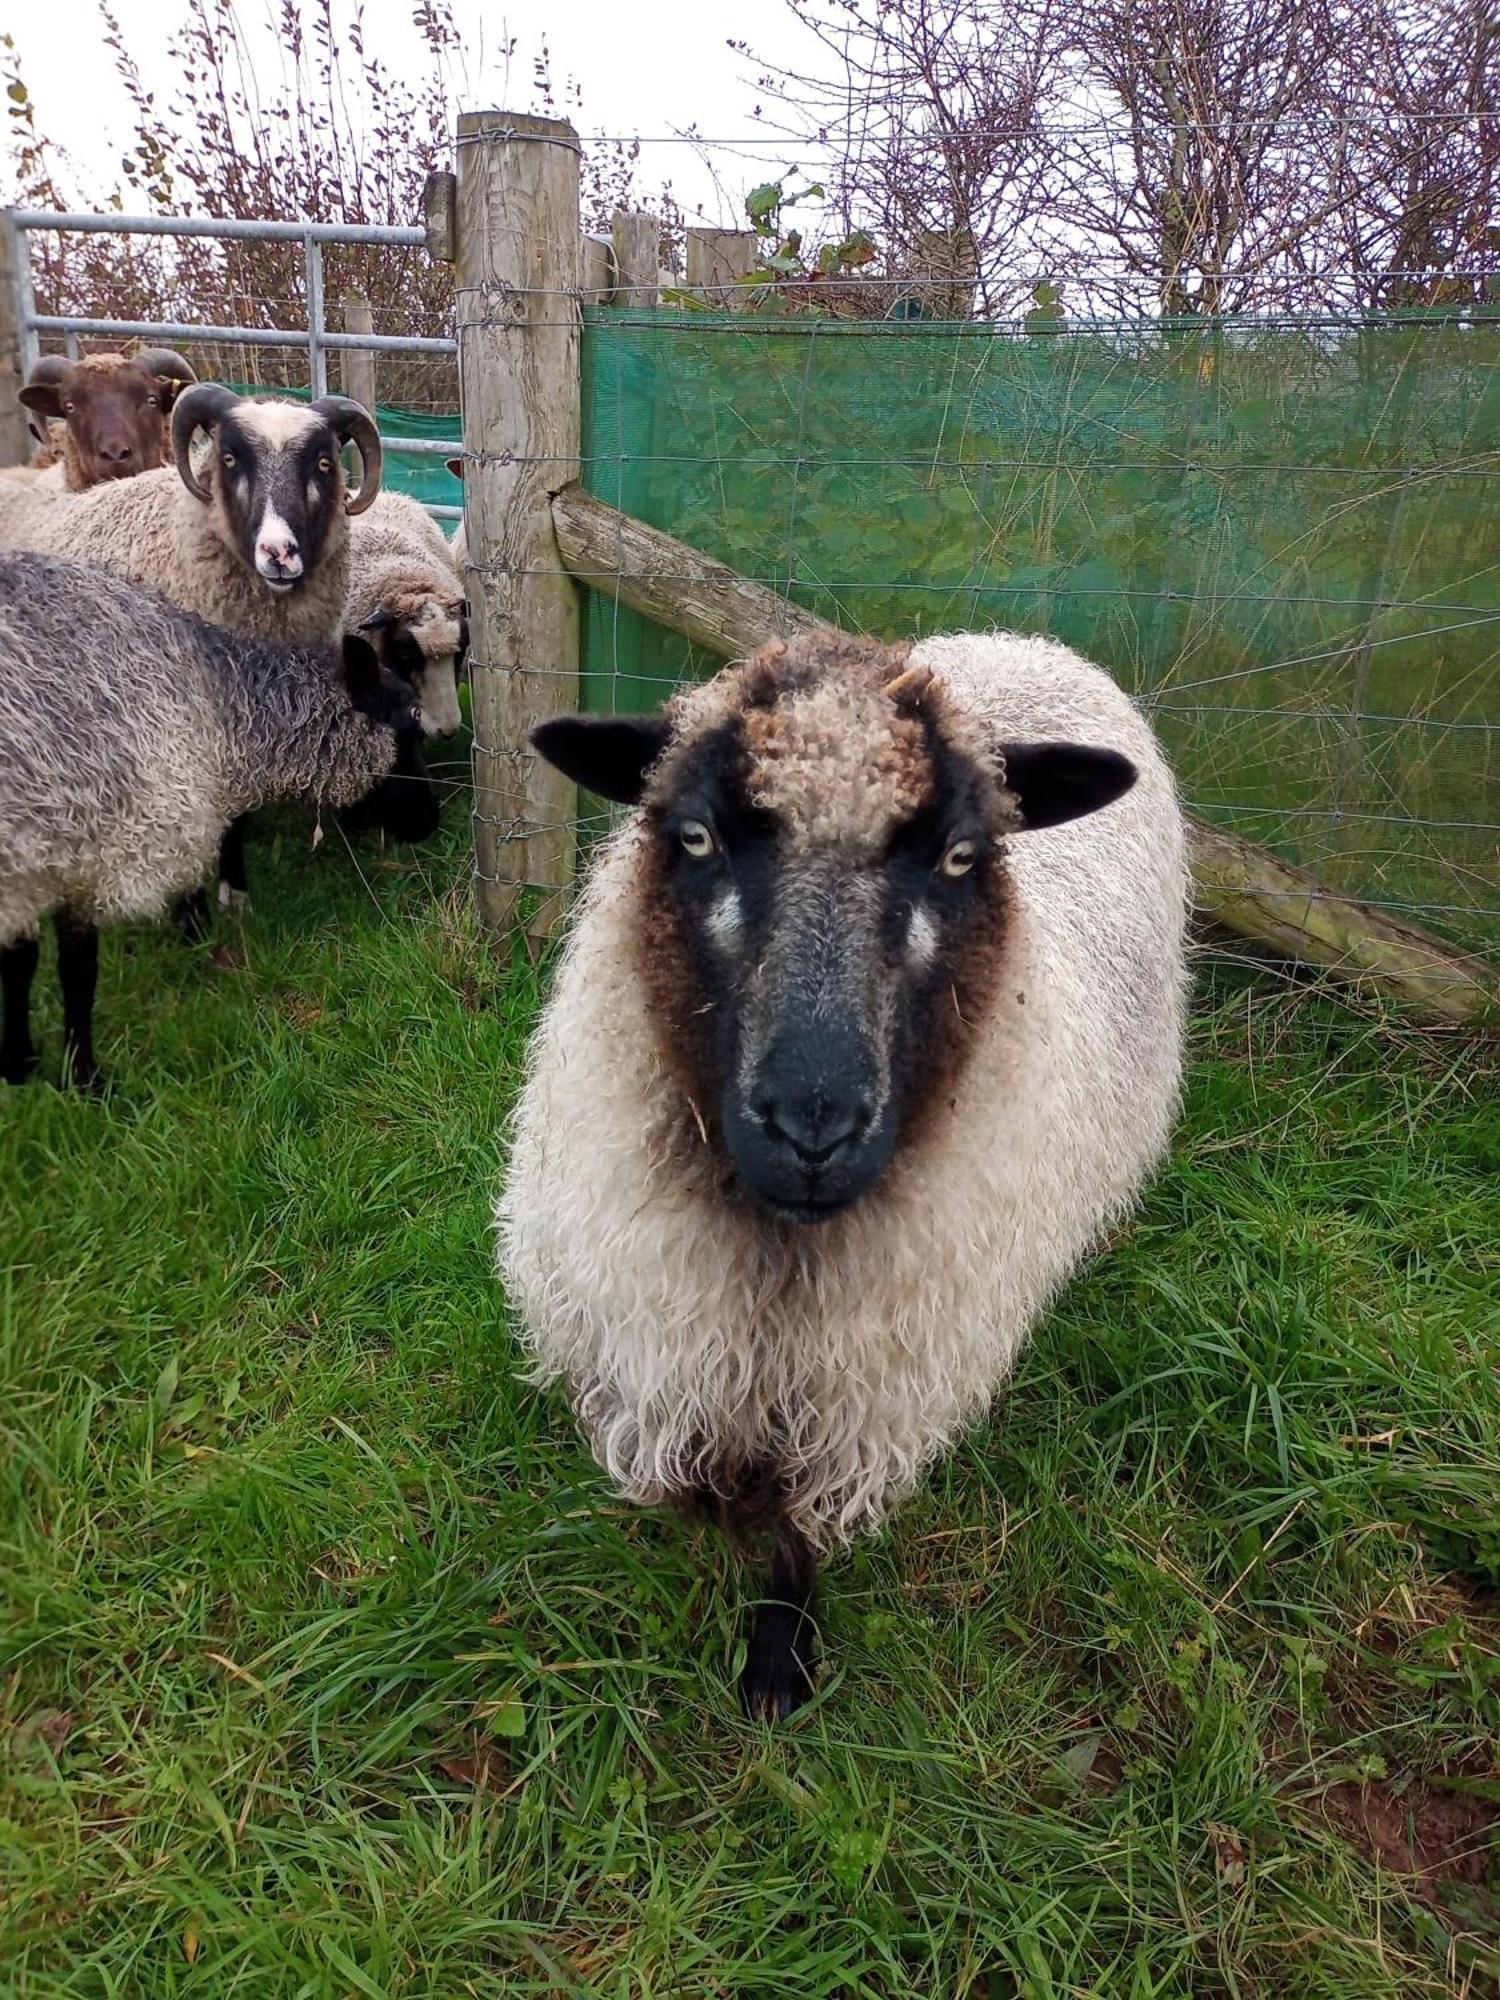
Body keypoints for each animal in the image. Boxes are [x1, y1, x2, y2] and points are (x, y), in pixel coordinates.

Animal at [0, 552, 440, 1096]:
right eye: (410, 715)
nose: (431, 821)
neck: (217, 707)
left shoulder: (34, 868)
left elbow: (18, 963)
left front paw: (17, 1064)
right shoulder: (93, 853)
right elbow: (77, 971)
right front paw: (85, 1079)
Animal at [500, 628, 1192, 1720]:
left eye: (960, 855)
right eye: (695, 836)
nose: (813, 1126)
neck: (784, 1262)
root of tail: (1027, 644)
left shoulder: (862, 1394)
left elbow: (796, 1537)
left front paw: (777, 1670)